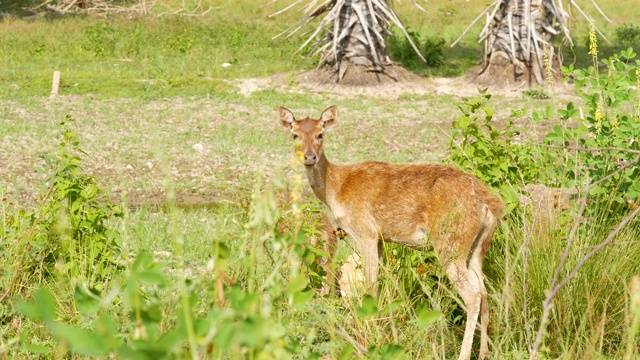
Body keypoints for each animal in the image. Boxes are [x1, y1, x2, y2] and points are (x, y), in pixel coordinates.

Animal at [278, 105, 502, 360]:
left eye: (320, 134)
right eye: (295, 134)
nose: (309, 157)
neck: (335, 190)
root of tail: (491, 205)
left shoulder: (365, 231)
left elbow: (369, 286)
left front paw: (366, 339)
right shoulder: (381, 239)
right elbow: (379, 287)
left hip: (450, 241)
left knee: (472, 295)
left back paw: (464, 354)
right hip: (476, 248)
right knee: (484, 291)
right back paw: (484, 352)